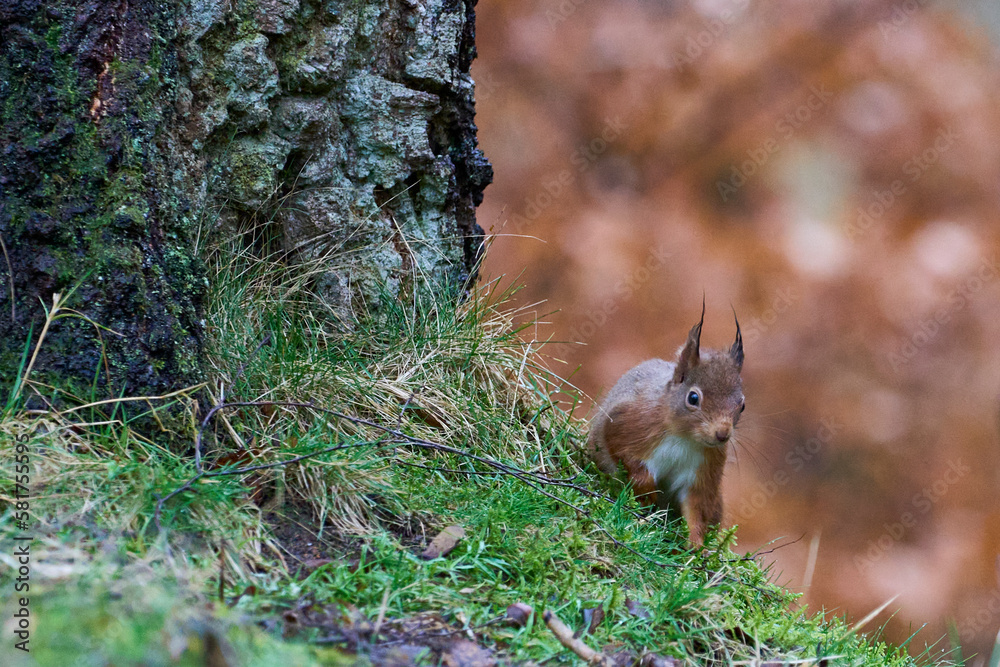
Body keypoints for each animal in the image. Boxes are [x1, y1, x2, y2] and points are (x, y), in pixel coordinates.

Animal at [587, 302, 744, 545]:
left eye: (742, 405)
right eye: (693, 398)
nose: (722, 435)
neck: (684, 437)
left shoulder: (703, 469)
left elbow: (696, 505)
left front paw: (696, 544)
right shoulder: (629, 423)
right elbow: (622, 450)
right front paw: (646, 489)